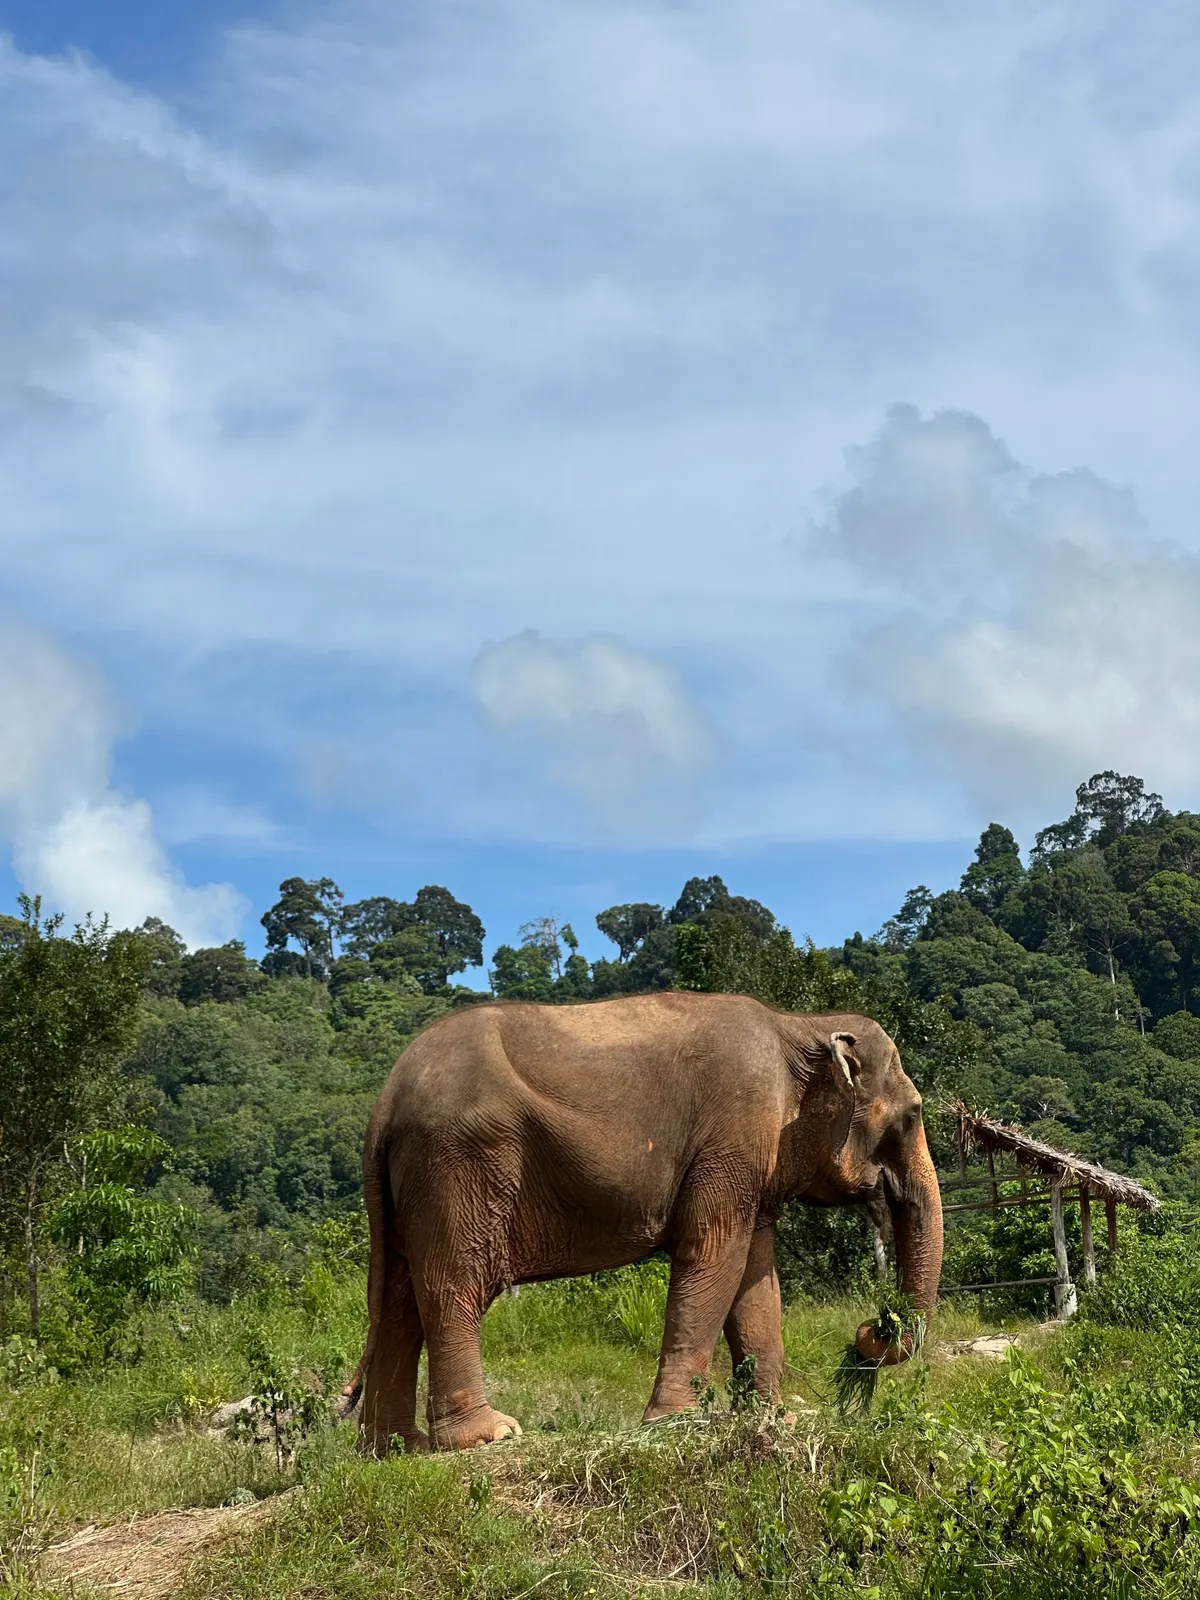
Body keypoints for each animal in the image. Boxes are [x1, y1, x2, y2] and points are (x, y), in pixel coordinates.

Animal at [342, 991, 943, 1452]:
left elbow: (757, 1279)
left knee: (398, 1302)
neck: (801, 1024)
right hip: (458, 1166)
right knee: (455, 1286)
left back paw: (395, 1448)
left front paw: (778, 1420)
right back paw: (488, 1436)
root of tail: (384, 1102)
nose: (872, 1328)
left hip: (415, 1186)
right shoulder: (732, 1138)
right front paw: (678, 1423)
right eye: (913, 1116)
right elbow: (714, 1254)